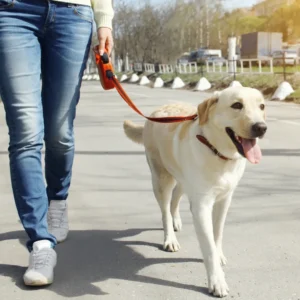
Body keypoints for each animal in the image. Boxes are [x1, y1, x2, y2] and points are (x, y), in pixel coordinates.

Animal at [122, 86, 268, 298]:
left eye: (262, 106)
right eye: (237, 105)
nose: (261, 128)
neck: (218, 153)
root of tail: (156, 112)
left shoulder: (225, 199)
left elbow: (217, 234)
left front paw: (219, 254)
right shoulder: (201, 206)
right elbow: (208, 247)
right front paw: (217, 281)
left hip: (183, 180)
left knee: (175, 199)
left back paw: (176, 221)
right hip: (161, 179)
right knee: (165, 210)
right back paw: (170, 238)